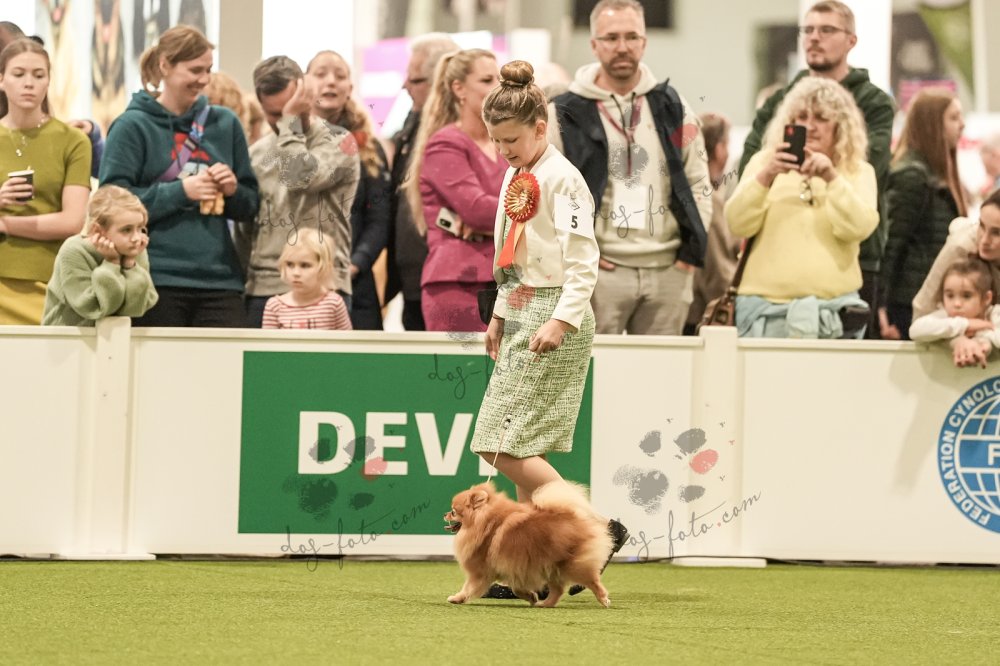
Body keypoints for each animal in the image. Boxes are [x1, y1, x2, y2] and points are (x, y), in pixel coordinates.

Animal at [444, 480, 613, 607]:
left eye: (453, 512)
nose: (445, 514)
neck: (486, 523)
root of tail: (573, 516)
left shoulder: (481, 571)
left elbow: (468, 588)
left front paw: (457, 598)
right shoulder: (513, 569)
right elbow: (517, 589)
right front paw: (531, 597)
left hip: (571, 565)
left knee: (592, 580)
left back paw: (603, 599)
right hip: (551, 567)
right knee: (558, 590)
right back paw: (545, 604)